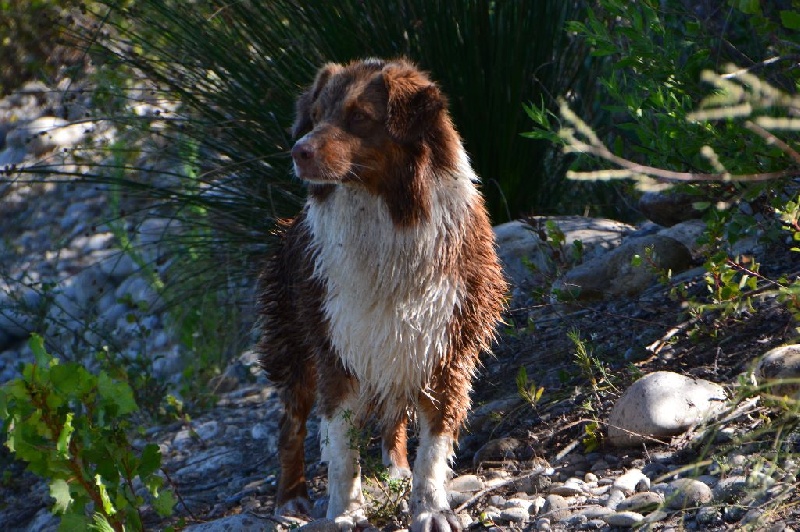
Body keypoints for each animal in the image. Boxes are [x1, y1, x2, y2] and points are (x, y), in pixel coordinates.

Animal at [256, 59, 506, 532]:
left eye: (359, 117)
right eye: (315, 116)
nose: (298, 151)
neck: (389, 217)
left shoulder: (446, 345)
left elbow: (434, 444)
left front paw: (430, 507)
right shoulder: (338, 346)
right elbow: (341, 447)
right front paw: (346, 512)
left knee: (394, 418)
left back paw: (396, 470)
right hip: (294, 344)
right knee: (290, 423)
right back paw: (290, 499)